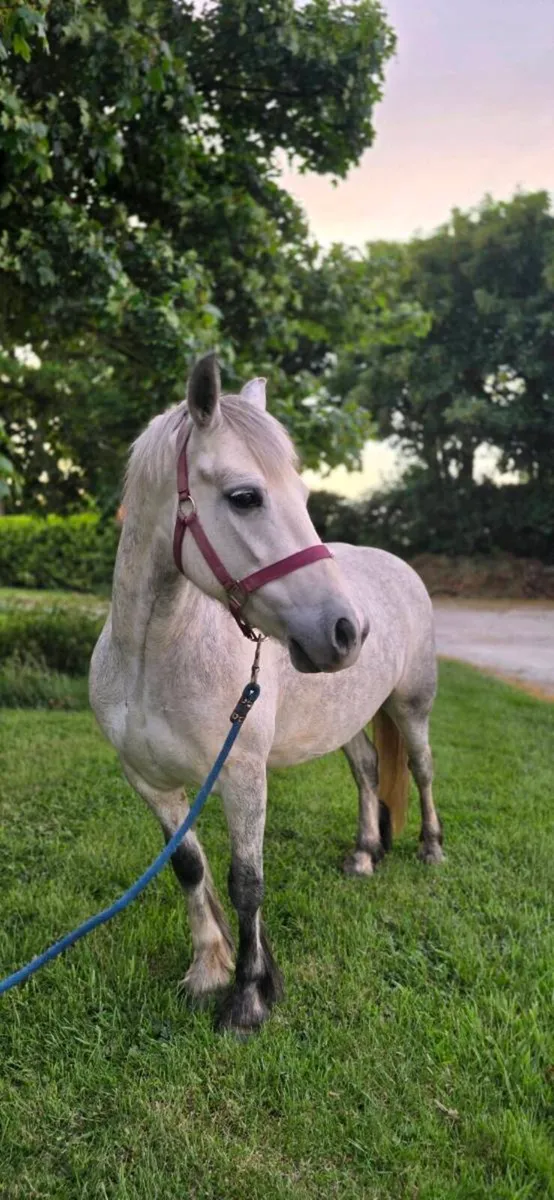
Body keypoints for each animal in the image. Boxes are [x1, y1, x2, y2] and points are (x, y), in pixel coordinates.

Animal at [89, 354, 443, 1035]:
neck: (151, 659)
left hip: (411, 708)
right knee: (367, 772)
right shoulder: (149, 781)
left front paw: (250, 996)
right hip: (346, 718)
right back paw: (364, 854)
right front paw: (210, 967)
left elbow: (245, 881)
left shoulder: (243, 775)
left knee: (420, 769)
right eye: (245, 497)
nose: (347, 631)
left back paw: (432, 849)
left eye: (303, 498)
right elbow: (189, 867)